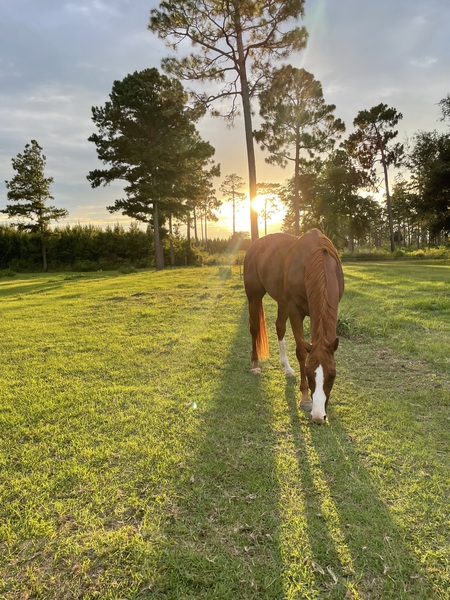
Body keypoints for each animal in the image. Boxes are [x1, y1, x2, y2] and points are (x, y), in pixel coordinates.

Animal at [243, 229, 344, 422]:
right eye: (308, 373)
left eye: (333, 375)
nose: (318, 416)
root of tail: (254, 246)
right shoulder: (295, 311)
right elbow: (301, 351)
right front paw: (305, 398)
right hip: (254, 296)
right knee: (254, 328)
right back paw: (255, 365)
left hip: (282, 302)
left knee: (279, 327)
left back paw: (287, 368)